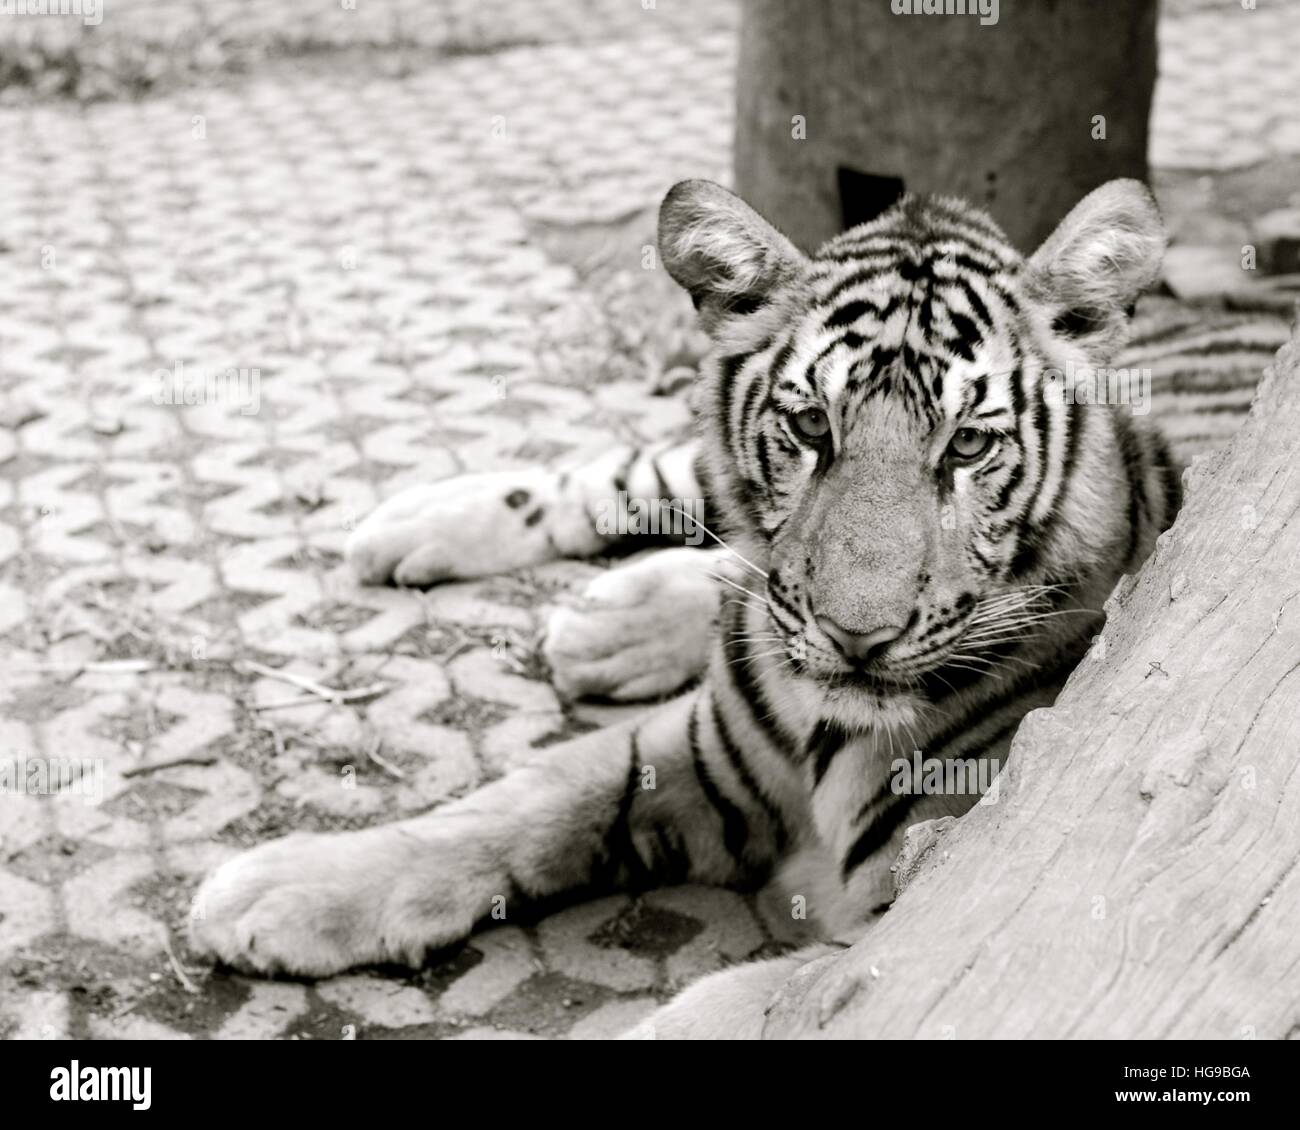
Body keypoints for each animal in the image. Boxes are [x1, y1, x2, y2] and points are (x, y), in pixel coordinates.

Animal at [189, 178, 1289, 1040]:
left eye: (968, 447)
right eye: (811, 429)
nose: (856, 633)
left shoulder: (943, 913)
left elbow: (739, 1006)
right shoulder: (702, 754)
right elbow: (517, 802)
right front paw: (288, 885)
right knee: (661, 478)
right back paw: (420, 526)